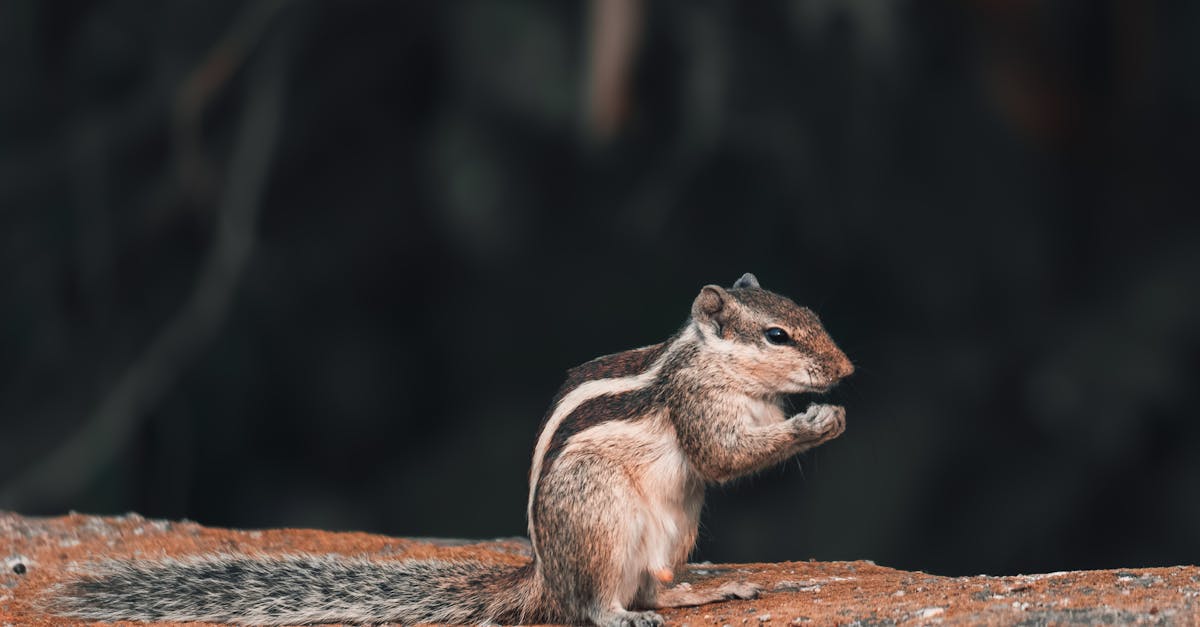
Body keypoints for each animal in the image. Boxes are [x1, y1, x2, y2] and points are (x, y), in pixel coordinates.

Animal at [46, 271, 854, 624]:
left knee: (654, 582)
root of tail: (541, 579)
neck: (712, 361)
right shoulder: (697, 406)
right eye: (777, 335)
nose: (846, 369)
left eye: (810, 313)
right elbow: (721, 455)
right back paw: (620, 613)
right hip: (597, 519)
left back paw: (705, 589)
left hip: (672, 531)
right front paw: (818, 422)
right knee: (595, 603)